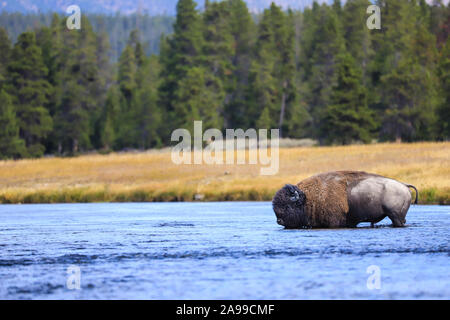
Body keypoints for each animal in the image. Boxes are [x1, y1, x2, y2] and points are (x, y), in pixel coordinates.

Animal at [270, 171, 418, 229]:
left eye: (288, 206)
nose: (279, 221)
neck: (308, 198)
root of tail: (404, 185)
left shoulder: (334, 222)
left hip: (395, 216)